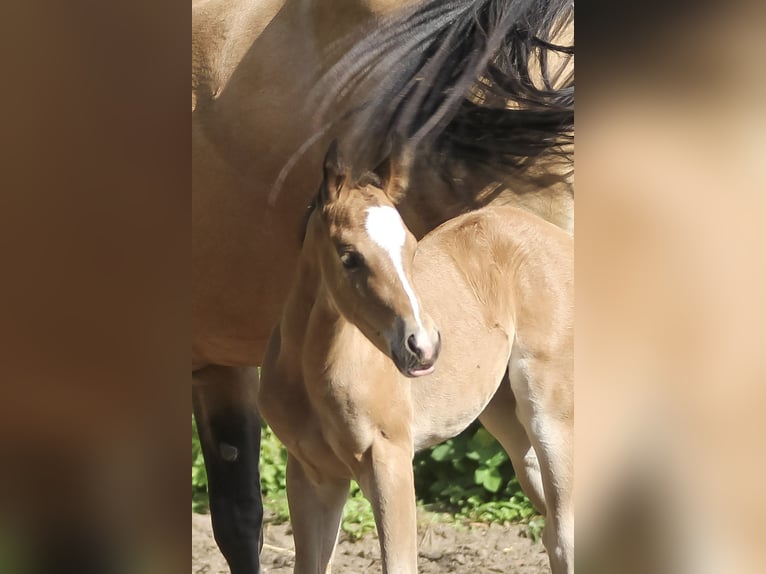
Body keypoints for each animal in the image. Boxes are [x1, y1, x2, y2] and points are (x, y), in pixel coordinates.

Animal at [257, 142, 574, 574]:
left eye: (410, 245)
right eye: (349, 257)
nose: (423, 345)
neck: (313, 372)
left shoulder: (389, 460)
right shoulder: (313, 473)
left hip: (549, 416)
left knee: (564, 534)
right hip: (509, 424)